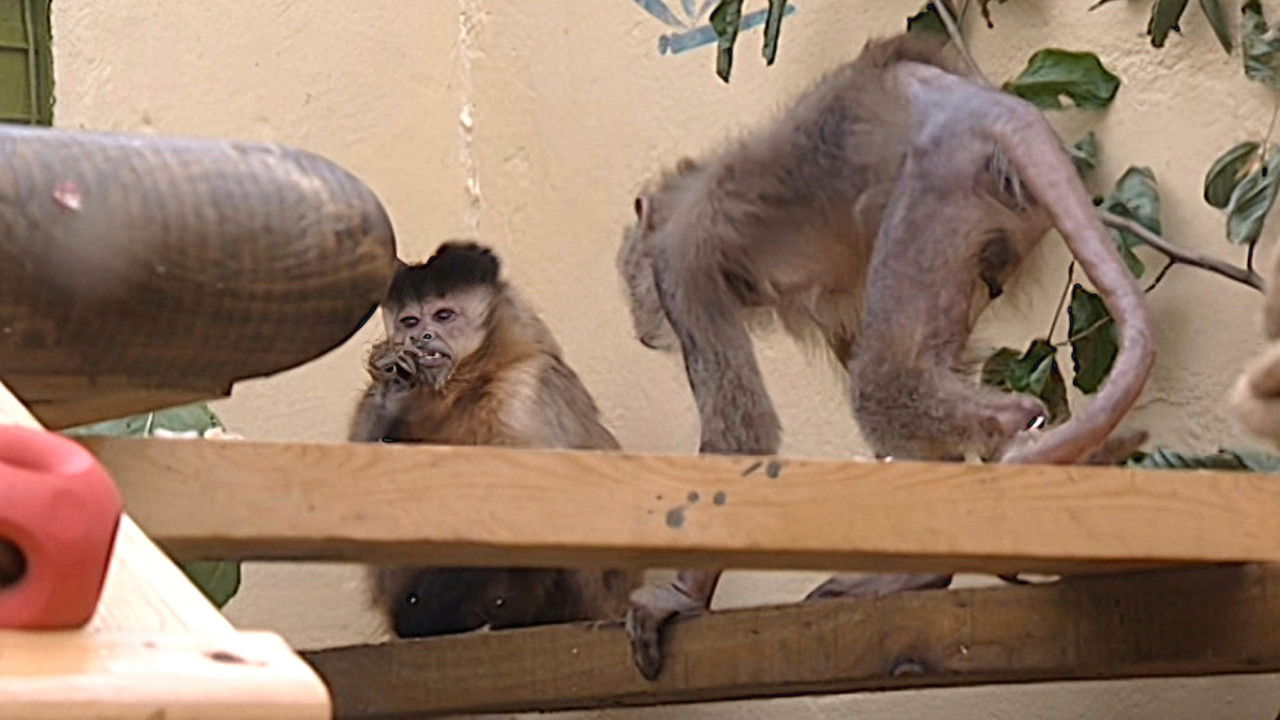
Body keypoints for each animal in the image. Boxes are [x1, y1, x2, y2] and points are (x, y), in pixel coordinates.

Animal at [351, 241, 638, 638]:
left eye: (443, 316)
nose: (422, 337)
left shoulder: (524, 391)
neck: (470, 381)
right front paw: (391, 390)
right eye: (410, 322)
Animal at [617, 33, 1155, 679]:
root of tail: (986, 105)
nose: (639, 324)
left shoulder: (678, 263)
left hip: (940, 180)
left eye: (634, 276)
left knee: (886, 381)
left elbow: (742, 436)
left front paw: (678, 596)